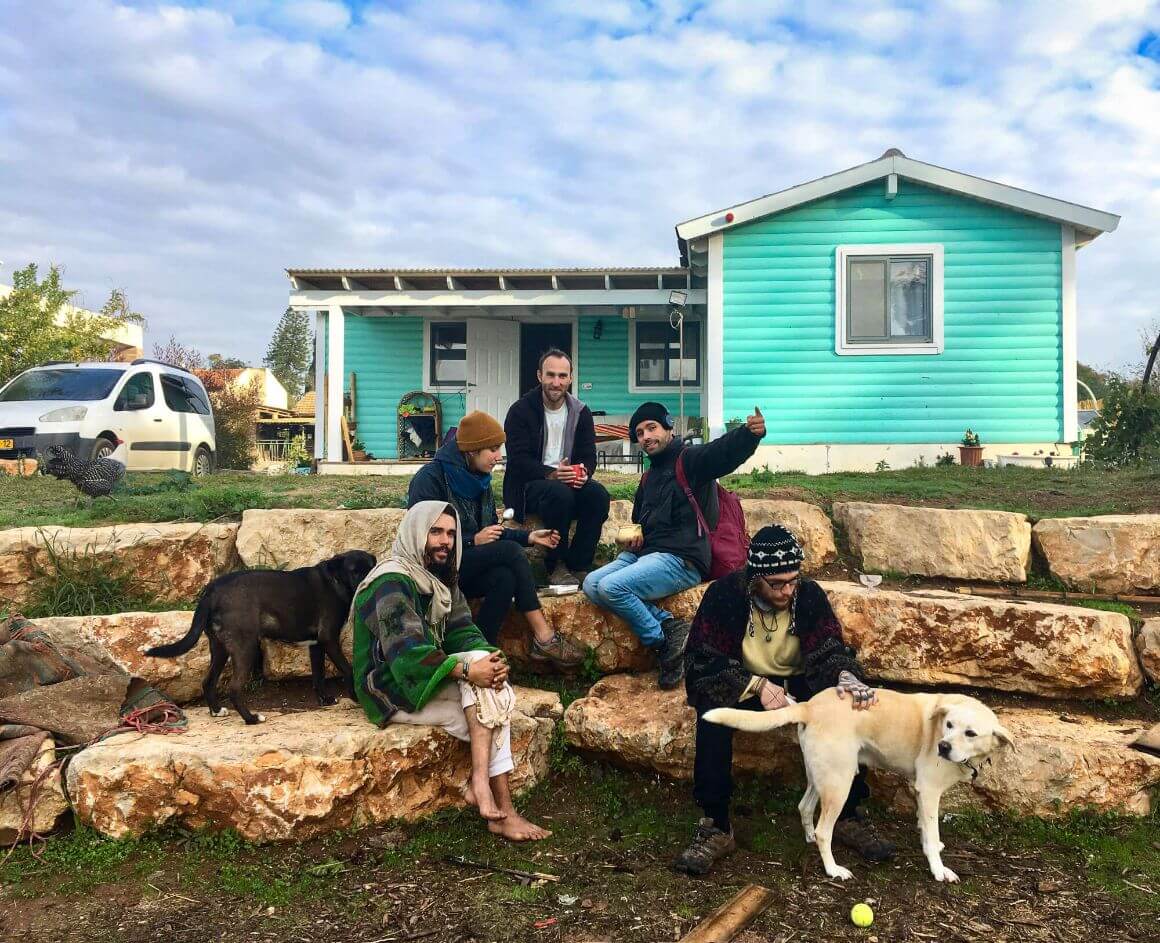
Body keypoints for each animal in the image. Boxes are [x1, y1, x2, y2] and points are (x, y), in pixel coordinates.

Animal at [142, 547, 373, 723]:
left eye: (371, 567)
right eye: (354, 571)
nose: (368, 581)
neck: (336, 581)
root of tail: (212, 590)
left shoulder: (316, 644)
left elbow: (318, 676)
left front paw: (325, 700)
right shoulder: (329, 639)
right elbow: (348, 669)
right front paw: (355, 696)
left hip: (220, 648)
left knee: (208, 681)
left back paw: (217, 711)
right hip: (246, 647)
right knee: (234, 688)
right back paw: (251, 718)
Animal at [700, 682, 1011, 881]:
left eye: (970, 733)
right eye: (949, 726)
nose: (943, 747)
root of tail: (809, 705)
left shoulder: (923, 793)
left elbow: (925, 826)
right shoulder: (930, 790)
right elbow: (932, 834)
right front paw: (938, 869)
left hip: (822, 776)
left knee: (804, 807)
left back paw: (809, 836)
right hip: (840, 781)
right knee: (825, 830)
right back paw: (833, 869)